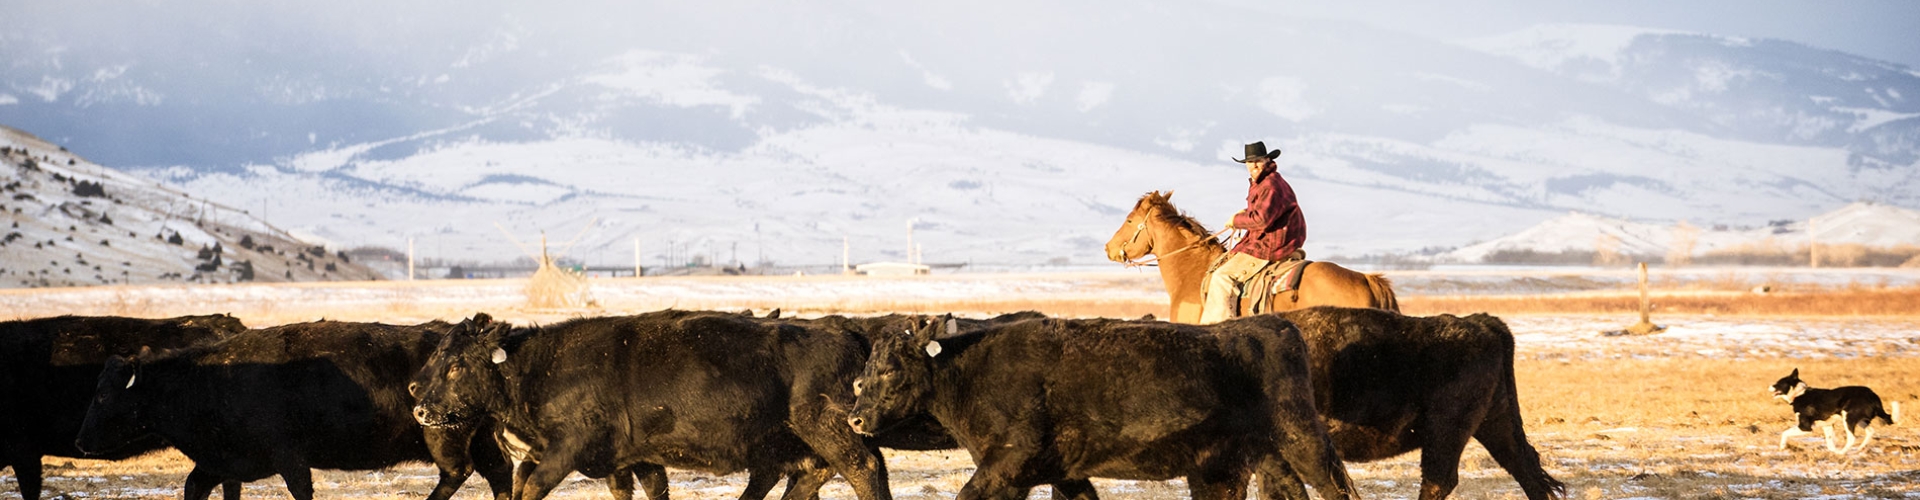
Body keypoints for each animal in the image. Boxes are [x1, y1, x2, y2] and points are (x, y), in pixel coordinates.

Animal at [74, 320, 514, 500]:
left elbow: (301, 490)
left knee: (458, 472)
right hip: (482, 441)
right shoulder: (219, 463)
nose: (80, 441)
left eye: (104, 396)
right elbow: (193, 487)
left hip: (444, 437)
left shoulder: (290, 459)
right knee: (499, 473)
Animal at [409, 310, 894, 500]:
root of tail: (842, 329)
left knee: (863, 469)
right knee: (814, 475)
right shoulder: (631, 459)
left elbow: (531, 487)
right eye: (437, 356)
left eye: (455, 365)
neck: (539, 368)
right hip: (804, 442)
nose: (420, 406)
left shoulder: (567, 448)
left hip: (829, 428)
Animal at [846, 314, 1357, 500]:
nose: (855, 417)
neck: (970, 372)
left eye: (889, 369)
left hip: (1302, 439)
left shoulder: (1007, 463)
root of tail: (1276, 324)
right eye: (866, 367)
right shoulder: (1063, 472)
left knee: (1334, 487)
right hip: (1248, 458)